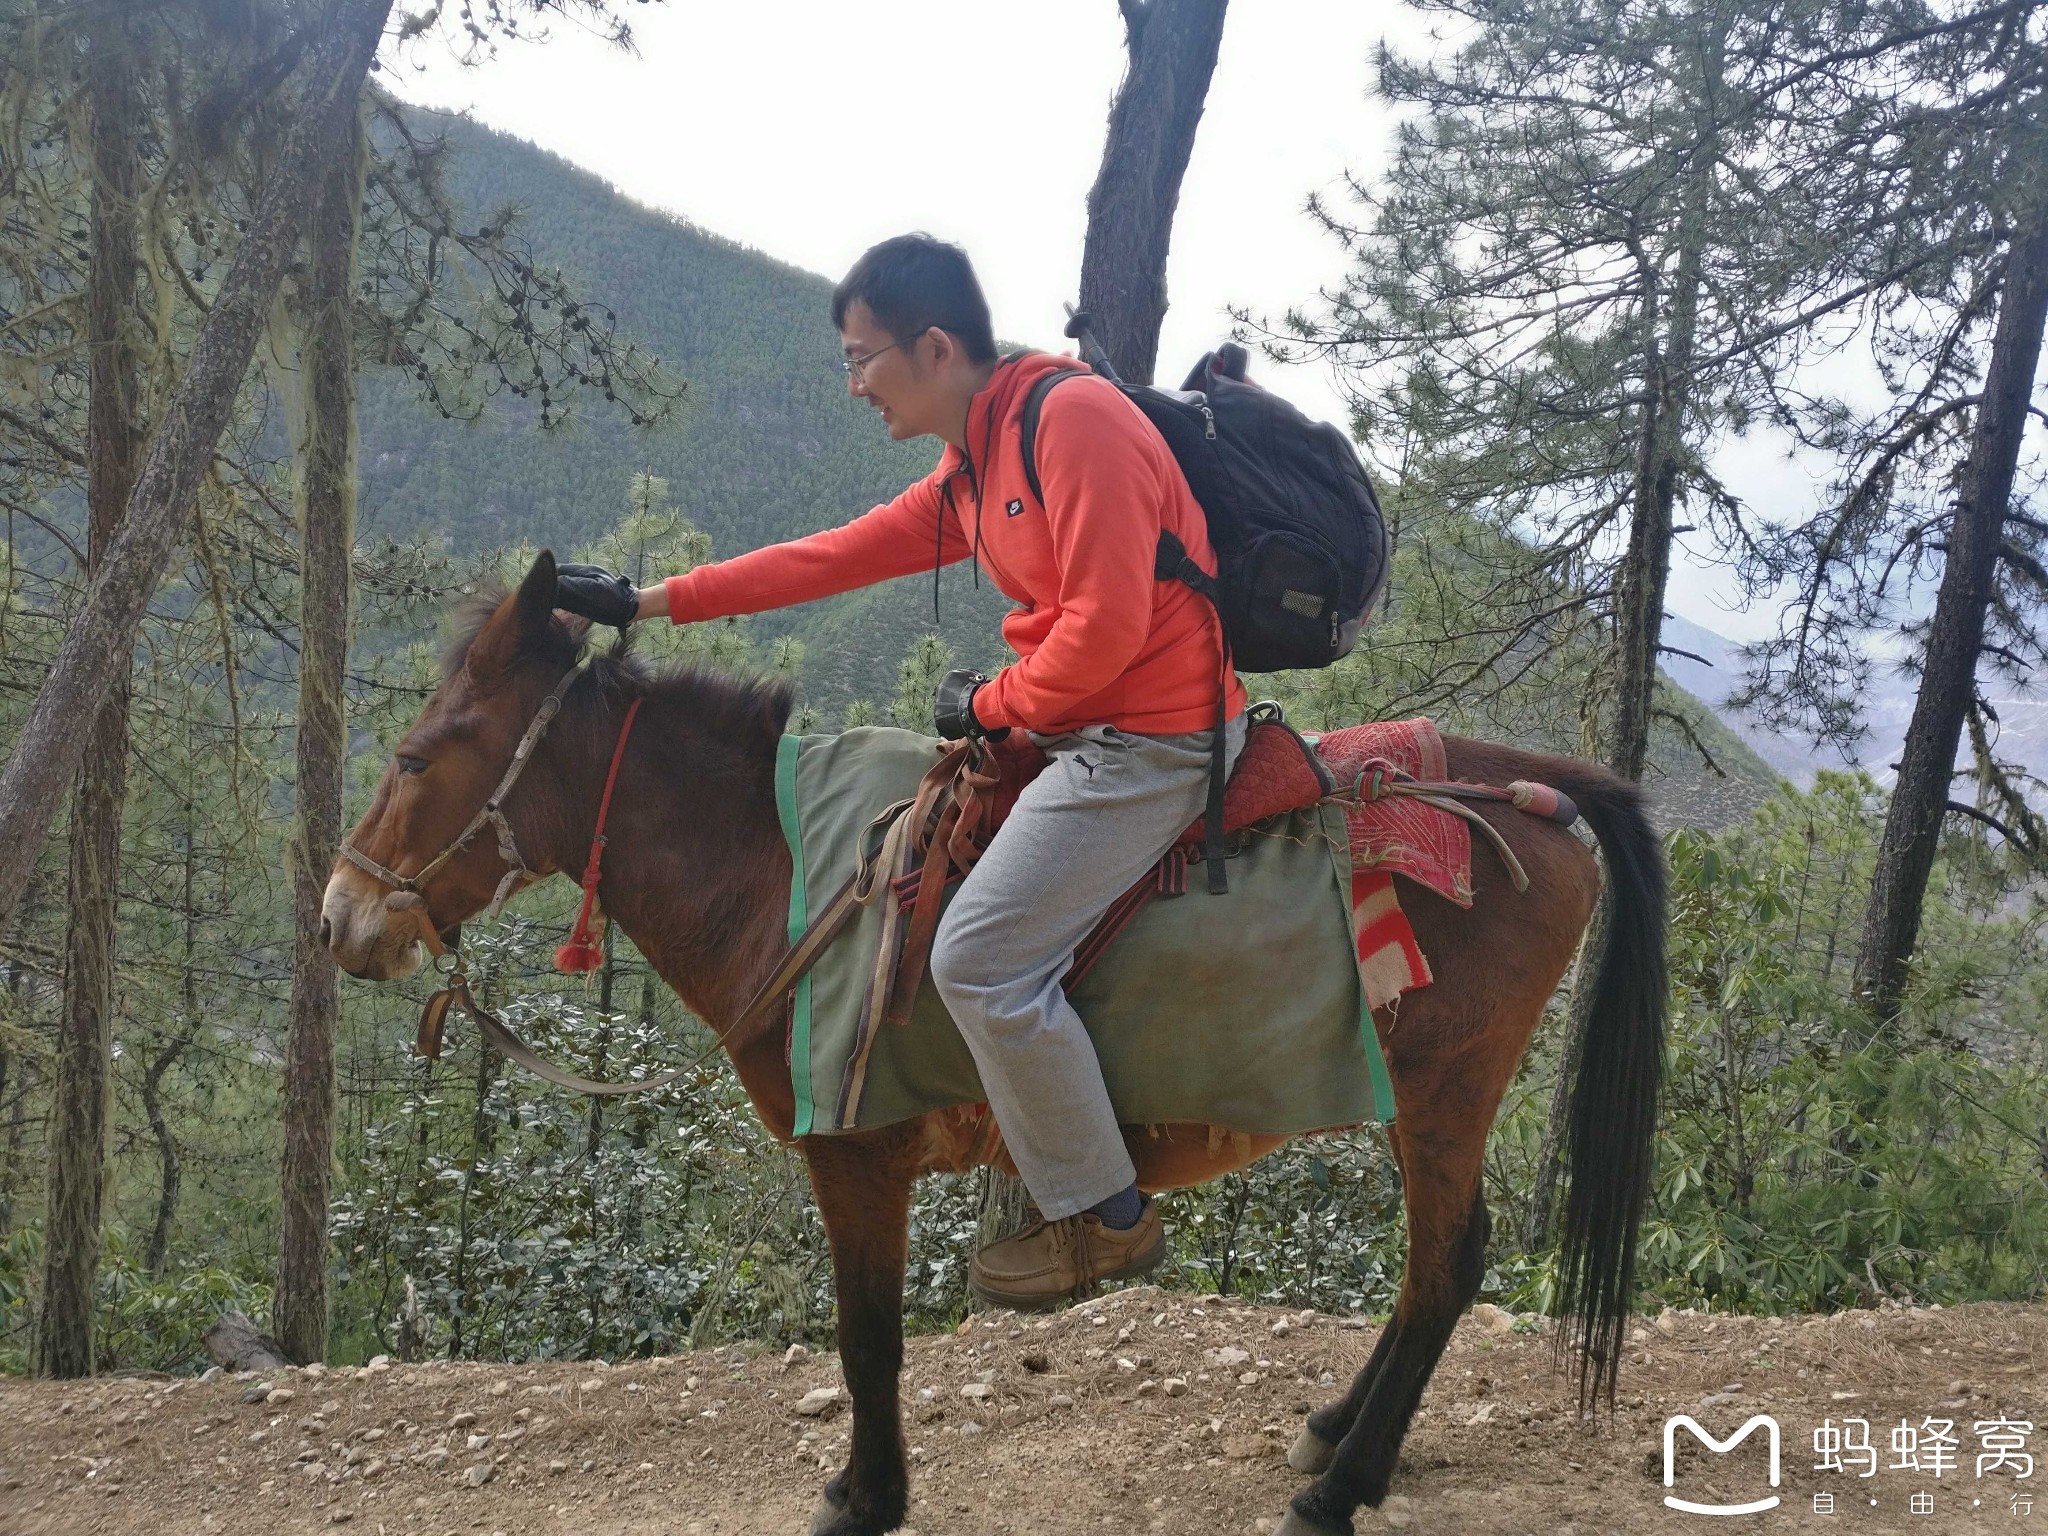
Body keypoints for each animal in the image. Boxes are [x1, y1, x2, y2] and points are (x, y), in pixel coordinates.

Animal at [319, 557, 1662, 1536]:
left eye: (414, 756)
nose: (339, 920)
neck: (789, 875)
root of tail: (1527, 792)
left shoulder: (856, 1155)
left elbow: (866, 1336)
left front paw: (866, 1498)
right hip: (1419, 1100)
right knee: (1443, 1262)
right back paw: (1339, 1435)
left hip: (1444, 1093)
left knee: (1443, 1268)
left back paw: (1338, 1489)